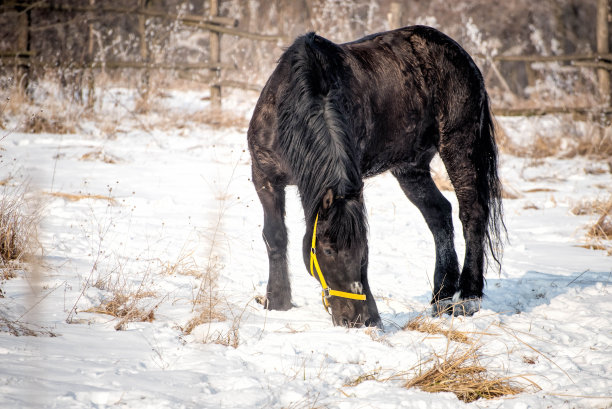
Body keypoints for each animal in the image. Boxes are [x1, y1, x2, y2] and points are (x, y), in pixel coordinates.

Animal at [246, 25, 504, 326]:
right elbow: (275, 235)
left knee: (472, 214)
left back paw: (469, 298)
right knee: (439, 214)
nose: (359, 319)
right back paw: (441, 296)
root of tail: (464, 58)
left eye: (364, 248)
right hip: (411, 168)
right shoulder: (264, 178)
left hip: (460, 146)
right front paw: (277, 302)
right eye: (328, 250)